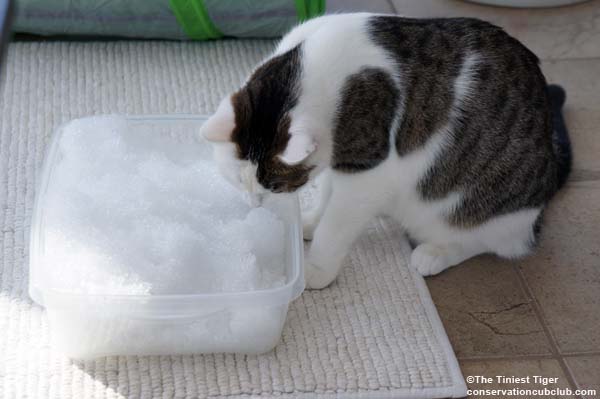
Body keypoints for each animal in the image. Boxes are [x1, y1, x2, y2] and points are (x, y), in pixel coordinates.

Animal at [199, 11, 568, 288]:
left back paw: (434, 254)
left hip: (472, 207)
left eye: (274, 186)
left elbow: (336, 225)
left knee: (489, 241)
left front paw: (317, 269)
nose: (255, 204)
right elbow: (326, 195)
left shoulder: (367, 173)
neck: (306, 71)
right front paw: (311, 221)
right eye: (237, 181)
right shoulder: (343, 160)